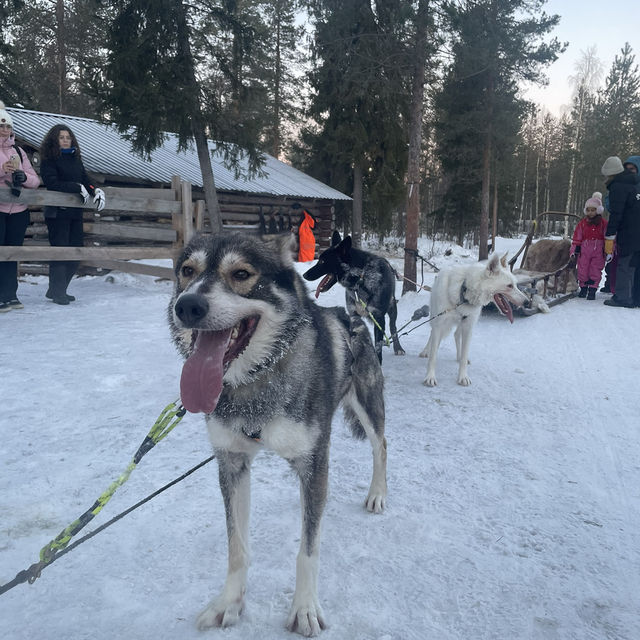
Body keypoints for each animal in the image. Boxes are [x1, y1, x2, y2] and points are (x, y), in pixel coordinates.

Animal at [169, 232, 384, 636]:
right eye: (187, 271)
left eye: (241, 273)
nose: (187, 305)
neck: (257, 382)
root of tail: (351, 317)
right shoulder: (232, 462)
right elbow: (236, 546)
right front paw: (229, 602)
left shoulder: (314, 459)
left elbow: (308, 550)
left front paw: (304, 607)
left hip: (369, 406)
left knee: (381, 448)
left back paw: (378, 493)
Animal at [302, 231, 402, 362]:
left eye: (322, 261)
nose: (304, 275)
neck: (361, 281)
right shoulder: (353, 315)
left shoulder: (379, 318)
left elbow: (378, 348)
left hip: (392, 308)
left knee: (393, 327)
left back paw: (398, 348)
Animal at [420, 254, 524, 384]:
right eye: (509, 286)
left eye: (515, 284)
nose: (526, 301)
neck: (463, 292)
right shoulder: (439, 324)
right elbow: (433, 356)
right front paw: (430, 376)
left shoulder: (468, 326)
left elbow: (464, 355)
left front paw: (463, 376)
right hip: (435, 319)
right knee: (432, 334)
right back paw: (426, 351)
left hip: (462, 324)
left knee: (456, 335)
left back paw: (458, 356)